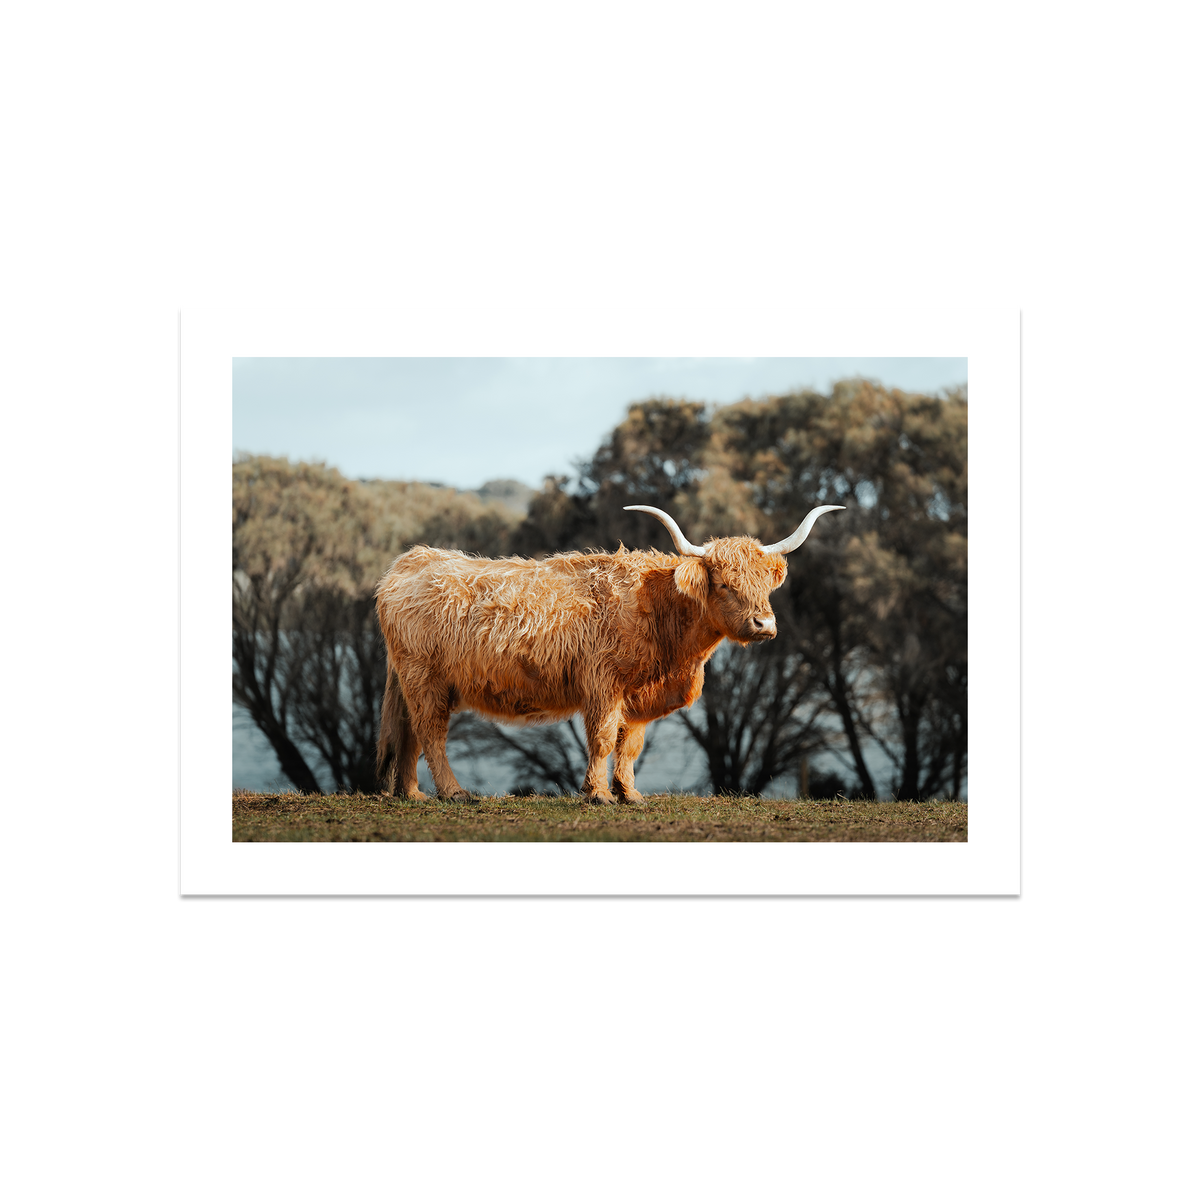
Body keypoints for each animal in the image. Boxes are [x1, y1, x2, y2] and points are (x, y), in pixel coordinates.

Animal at [375, 503, 844, 804]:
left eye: (765, 585)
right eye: (726, 584)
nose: (764, 625)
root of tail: (412, 559)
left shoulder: (637, 695)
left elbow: (630, 744)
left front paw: (630, 794)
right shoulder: (603, 684)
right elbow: (601, 739)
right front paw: (598, 794)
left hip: (414, 681)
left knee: (409, 734)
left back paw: (412, 794)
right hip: (425, 678)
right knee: (431, 733)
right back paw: (453, 793)